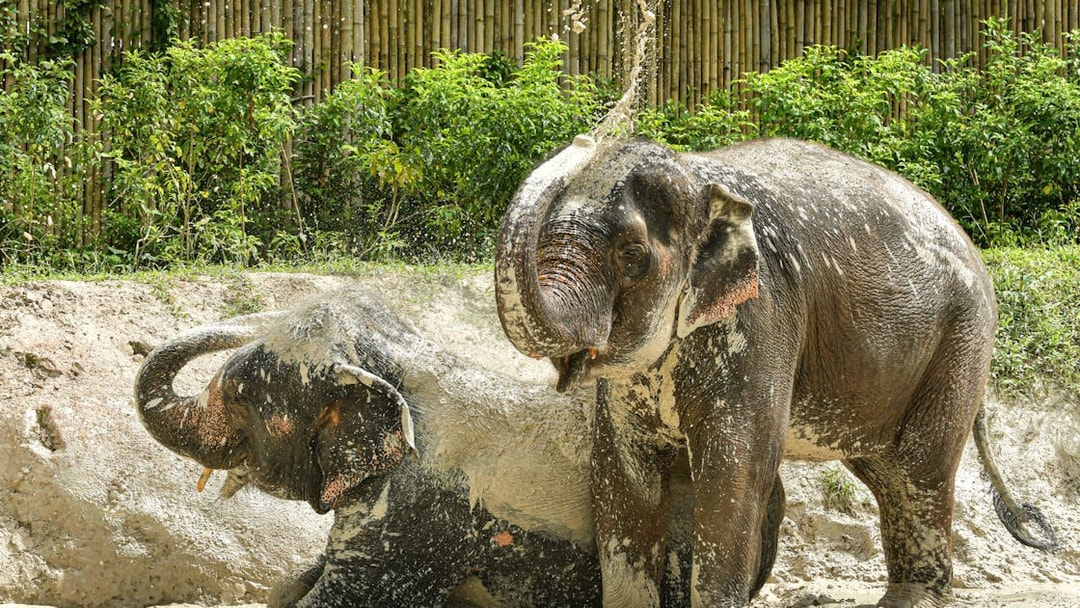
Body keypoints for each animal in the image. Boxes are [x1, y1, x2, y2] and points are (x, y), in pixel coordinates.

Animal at [494, 136, 1058, 608]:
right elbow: (623, 471)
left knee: (921, 468)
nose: (584, 139)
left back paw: (912, 601)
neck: (700, 180)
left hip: (961, 342)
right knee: (886, 472)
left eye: (631, 255)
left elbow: (736, 469)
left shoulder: (763, 319)